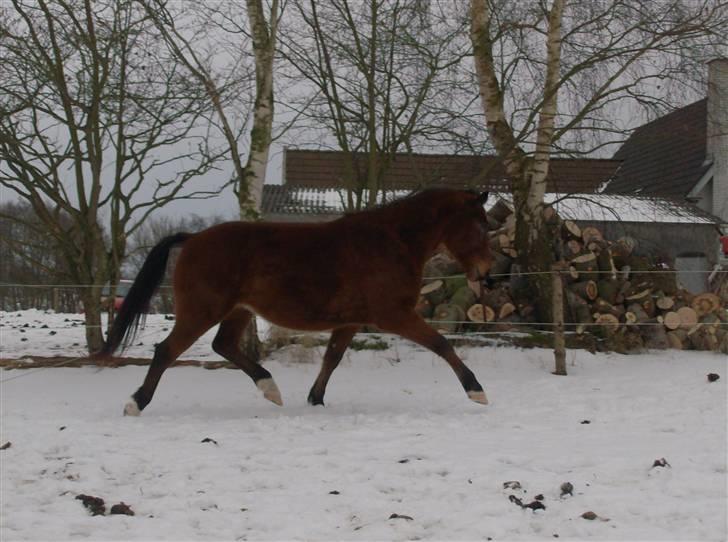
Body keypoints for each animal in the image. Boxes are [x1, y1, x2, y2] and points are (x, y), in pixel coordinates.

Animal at [99, 188, 492, 416]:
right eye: (481, 225)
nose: (486, 275)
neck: (392, 241)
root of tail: (193, 238)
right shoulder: (394, 315)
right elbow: (442, 344)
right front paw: (477, 391)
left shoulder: (351, 321)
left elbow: (332, 358)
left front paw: (315, 399)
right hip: (202, 310)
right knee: (167, 350)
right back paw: (136, 403)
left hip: (238, 311)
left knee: (223, 345)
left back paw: (270, 389)